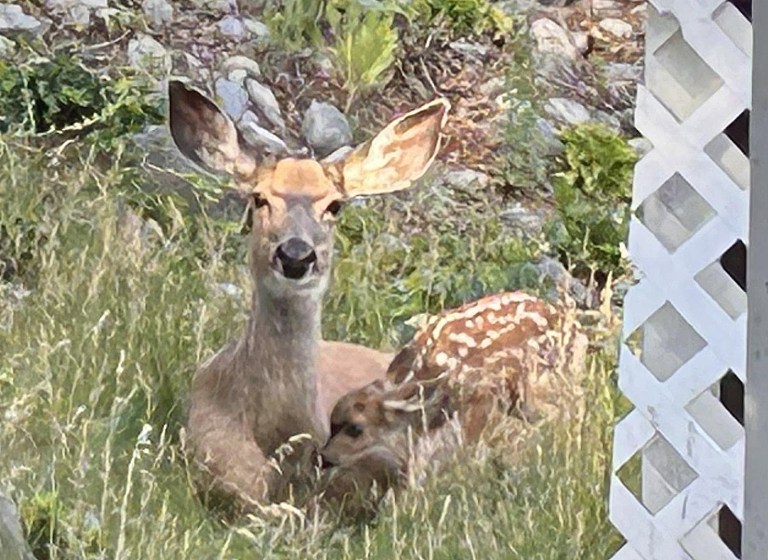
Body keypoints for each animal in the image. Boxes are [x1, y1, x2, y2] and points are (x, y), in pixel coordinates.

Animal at [317, 291, 588, 510]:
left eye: (355, 428)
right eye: (332, 423)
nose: (323, 458)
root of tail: (575, 328)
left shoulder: (481, 399)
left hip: (542, 383)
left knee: (572, 407)